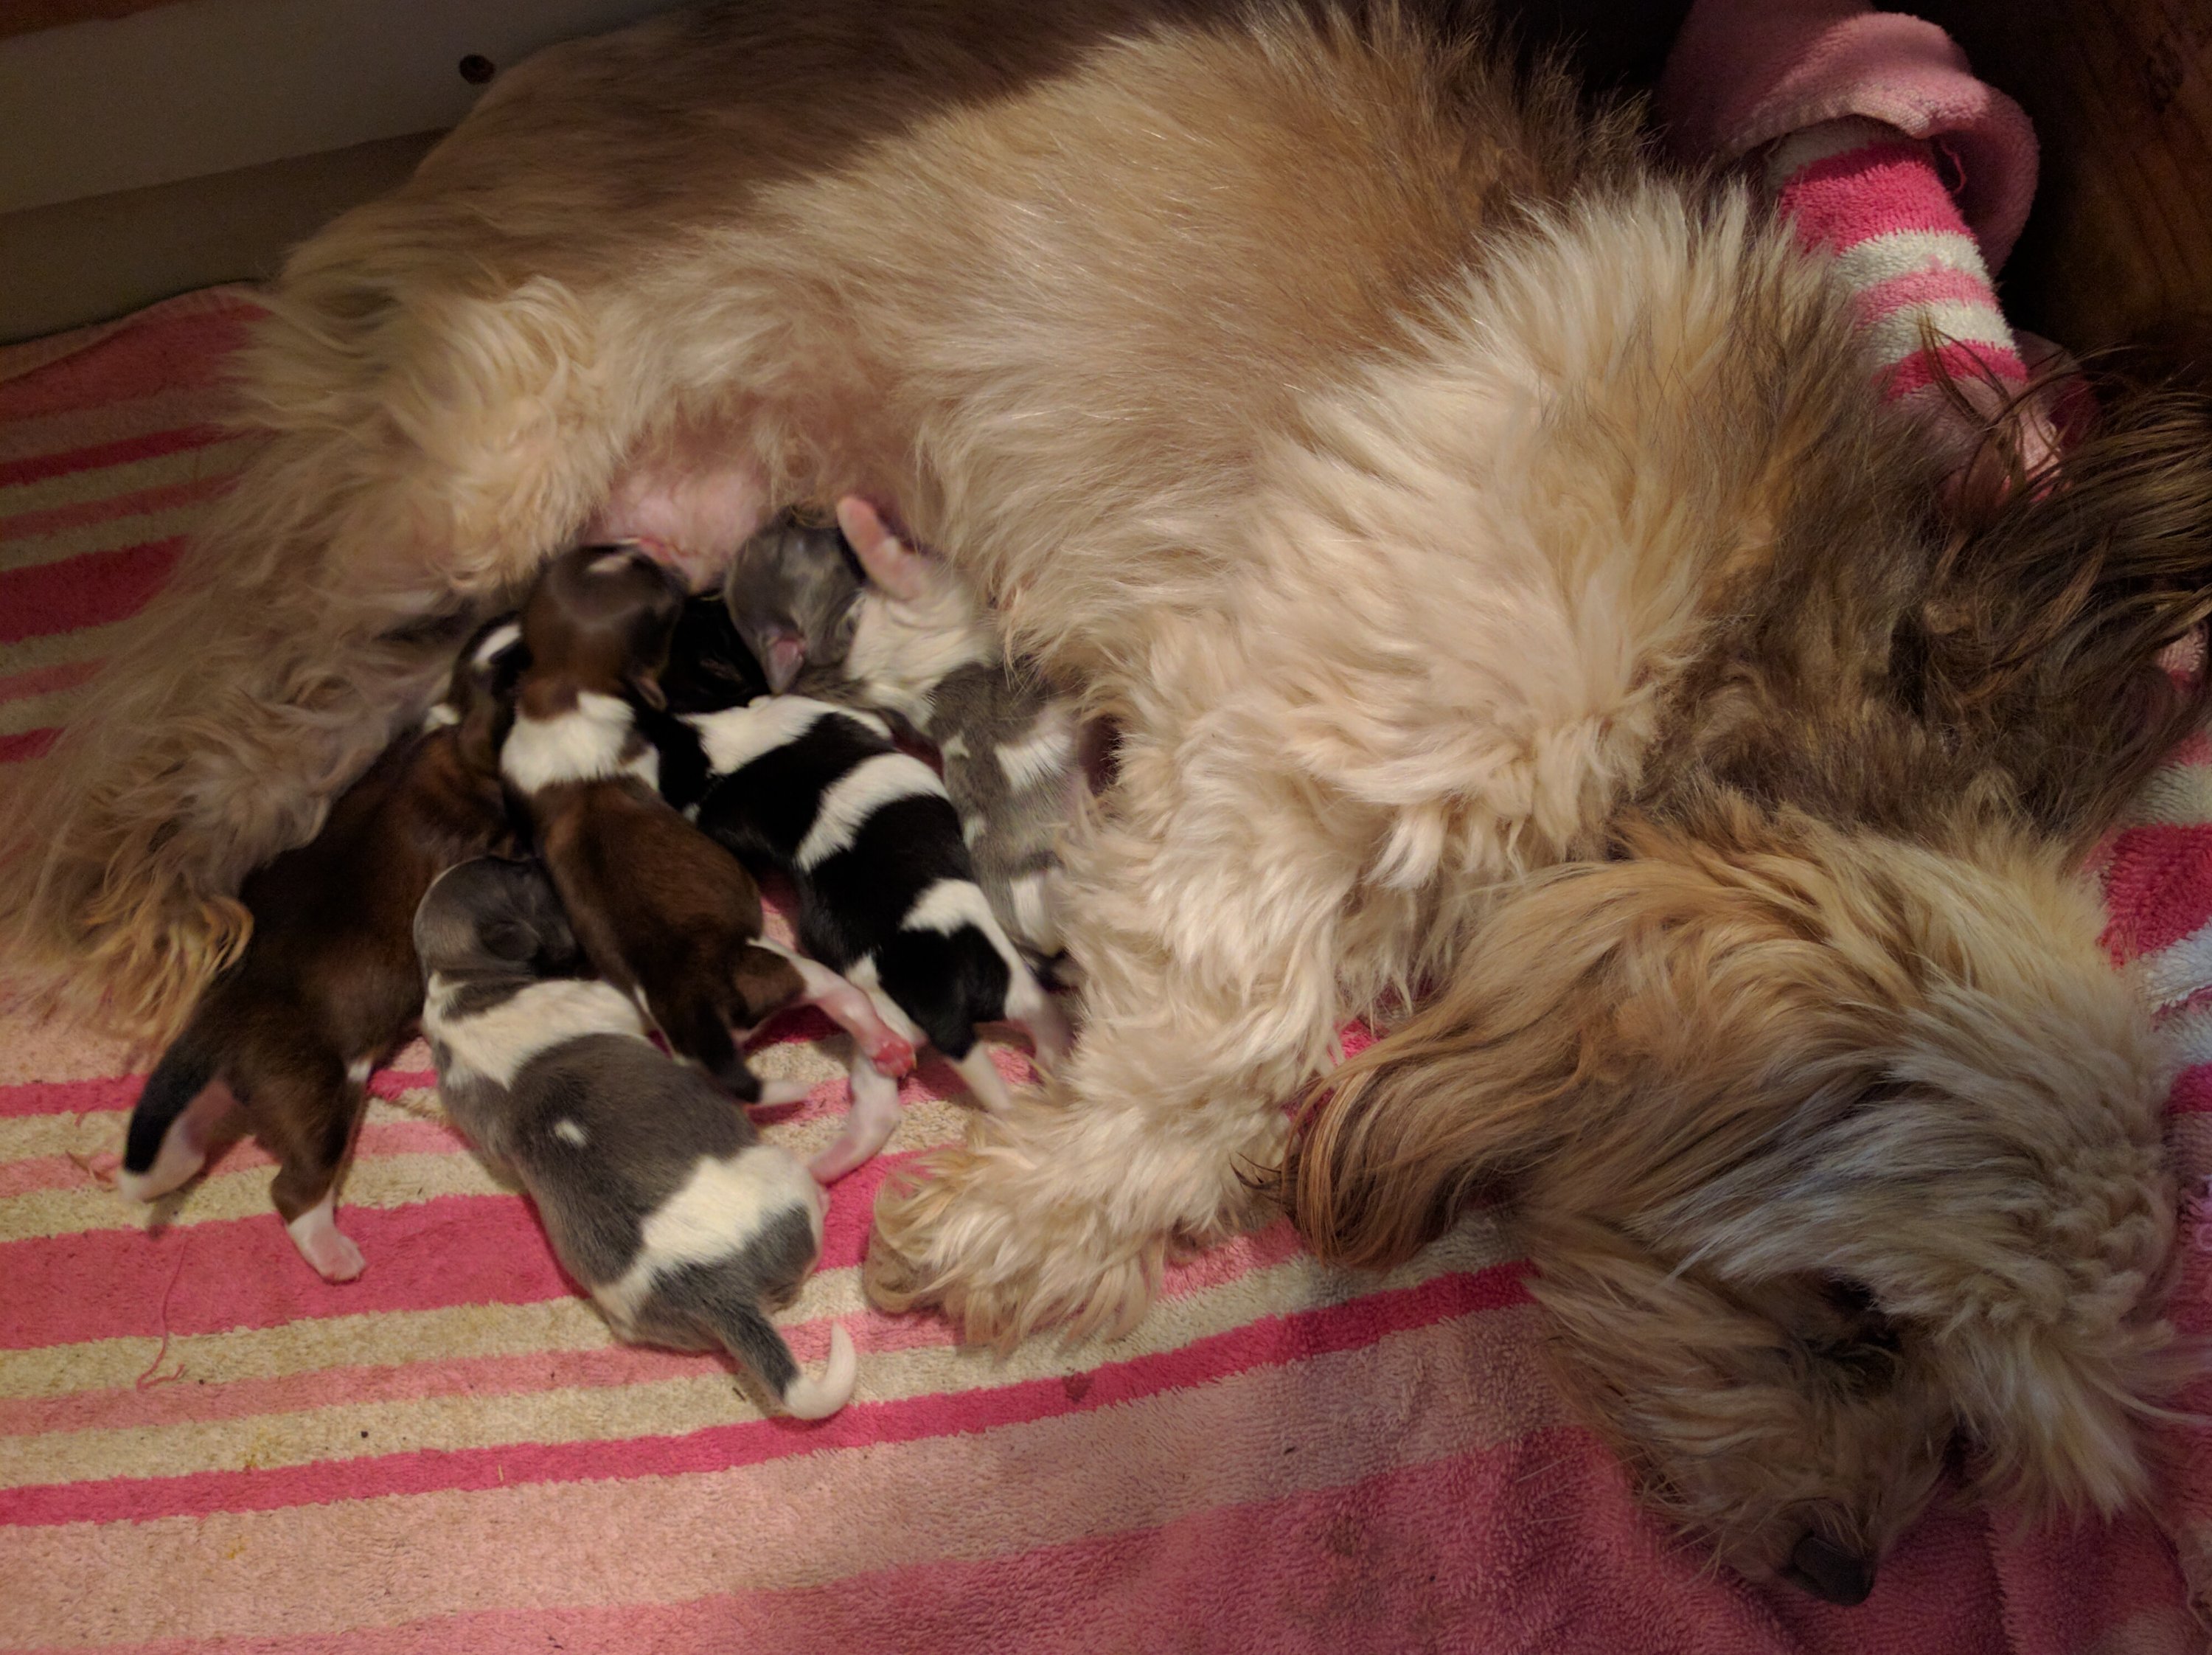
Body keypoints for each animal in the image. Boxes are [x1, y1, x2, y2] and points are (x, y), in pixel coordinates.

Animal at [415, 855, 858, 1417]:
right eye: (517, 874)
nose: (534, 856)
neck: (458, 978)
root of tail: (721, 1291)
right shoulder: (602, 999)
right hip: (780, 1172)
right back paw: (822, 1197)